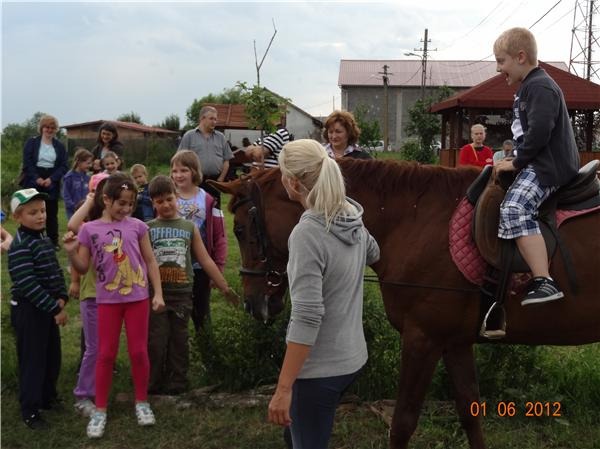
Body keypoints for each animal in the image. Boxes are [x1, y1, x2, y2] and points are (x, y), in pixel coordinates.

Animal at [212, 160, 600, 448]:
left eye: (241, 230)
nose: (253, 304)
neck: (415, 221)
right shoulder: (454, 342)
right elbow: (469, 412)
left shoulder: (422, 339)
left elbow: (402, 423)